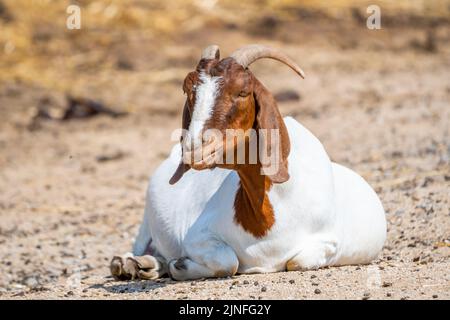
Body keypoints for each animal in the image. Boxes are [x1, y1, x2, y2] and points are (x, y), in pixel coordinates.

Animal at [110, 44, 386, 280]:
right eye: (188, 90)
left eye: (242, 91)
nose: (195, 149)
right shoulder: (195, 236)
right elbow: (228, 261)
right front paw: (178, 264)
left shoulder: (328, 241)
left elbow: (296, 261)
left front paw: (175, 265)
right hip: (146, 223)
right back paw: (130, 263)